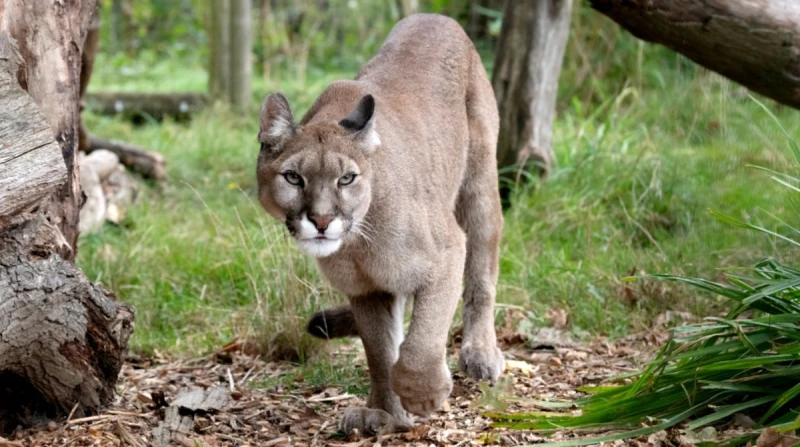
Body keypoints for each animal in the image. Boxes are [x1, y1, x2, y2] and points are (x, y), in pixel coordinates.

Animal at [256, 13, 504, 434]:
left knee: (481, 279)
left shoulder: (447, 251)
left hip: (479, 187)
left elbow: (423, 338)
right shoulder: (366, 289)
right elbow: (379, 352)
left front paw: (423, 394)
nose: (321, 219)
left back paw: (481, 353)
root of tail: (436, 16)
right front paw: (386, 413)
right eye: (293, 178)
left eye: (346, 179)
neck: (358, 245)